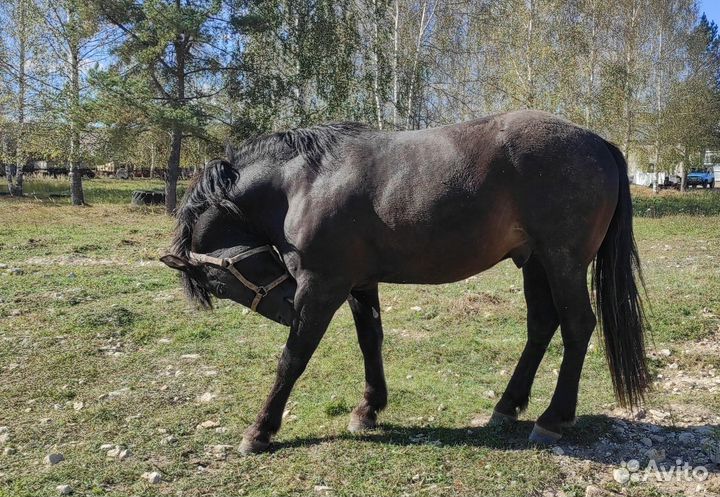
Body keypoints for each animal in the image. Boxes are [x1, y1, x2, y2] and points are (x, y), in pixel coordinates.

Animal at [160, 110, 649, 454]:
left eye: (217, 282)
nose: (285, 307)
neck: (304, 182)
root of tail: (599, 142)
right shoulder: (358, 284)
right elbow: (370, 341)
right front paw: (368, 409)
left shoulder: (321, 288)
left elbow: (292, 358)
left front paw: (261, 430)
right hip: (536, 263)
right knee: (542, 326)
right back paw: (507, 406)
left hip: (563, 263)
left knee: (577, 326)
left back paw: (553, 417)